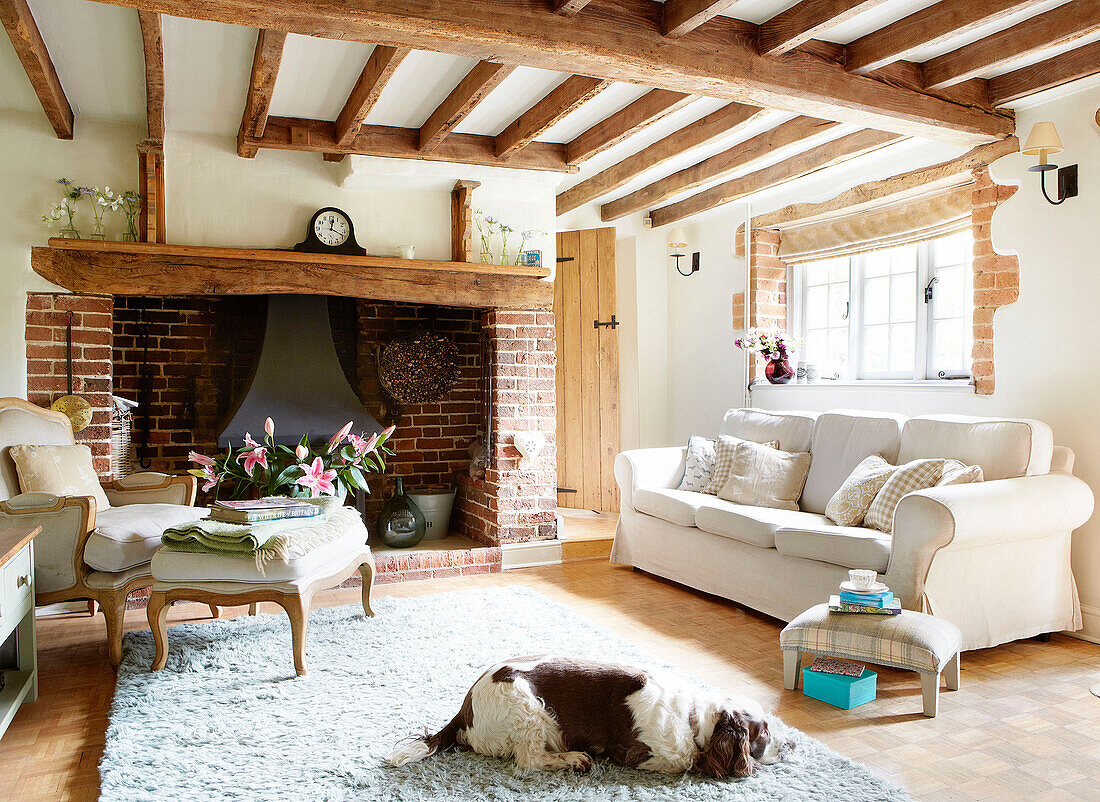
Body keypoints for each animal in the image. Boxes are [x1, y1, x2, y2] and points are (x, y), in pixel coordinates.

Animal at [389, 655, 792, 774]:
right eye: (763, 734)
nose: (792, 747)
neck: (695, 718)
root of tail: (465, 708)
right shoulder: (638, 755)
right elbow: (686, 761)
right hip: (527, 706)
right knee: (529, 760)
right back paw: (574, 759)